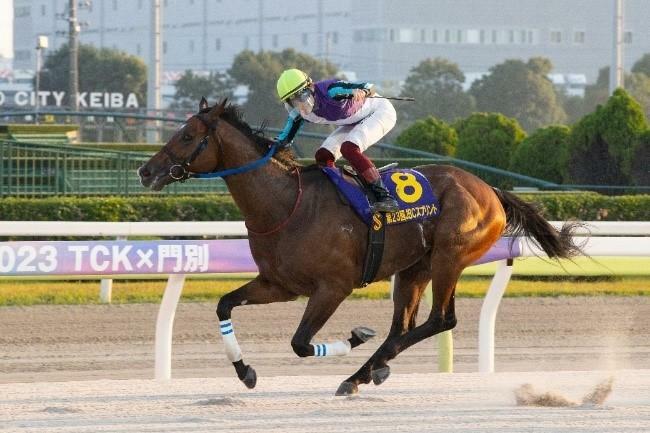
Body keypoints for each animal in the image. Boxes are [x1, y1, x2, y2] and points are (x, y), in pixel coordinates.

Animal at [138, 98, 584, 394]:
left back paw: (363, 371)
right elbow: (224, 305)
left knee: (441, 320)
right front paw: (245, 372)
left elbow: (301, 344)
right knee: (405, 325)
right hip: (414, 267)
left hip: (449, 257)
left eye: (188, 135)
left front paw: (357, 336)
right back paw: (368, 371)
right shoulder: (278, 284)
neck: (286, 204)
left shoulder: (333, 287)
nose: (145, 171)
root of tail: (490, 189)